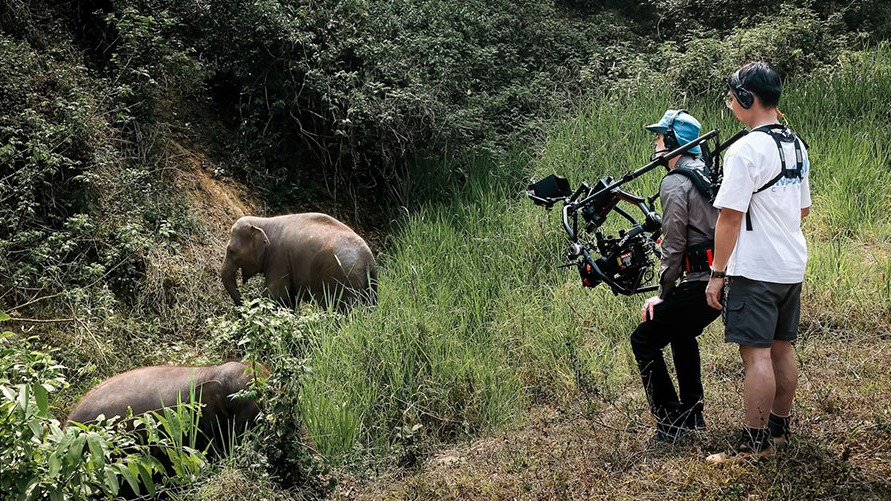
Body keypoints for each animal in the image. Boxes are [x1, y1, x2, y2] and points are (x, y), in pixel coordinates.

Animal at [221, 212, 378, 310]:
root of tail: (368, 260)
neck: (264, 221)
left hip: (345, 281)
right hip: (370, 285)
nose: (245, 306)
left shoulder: (279, 258)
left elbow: (275, 293)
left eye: (232, 251)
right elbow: (289, 297)